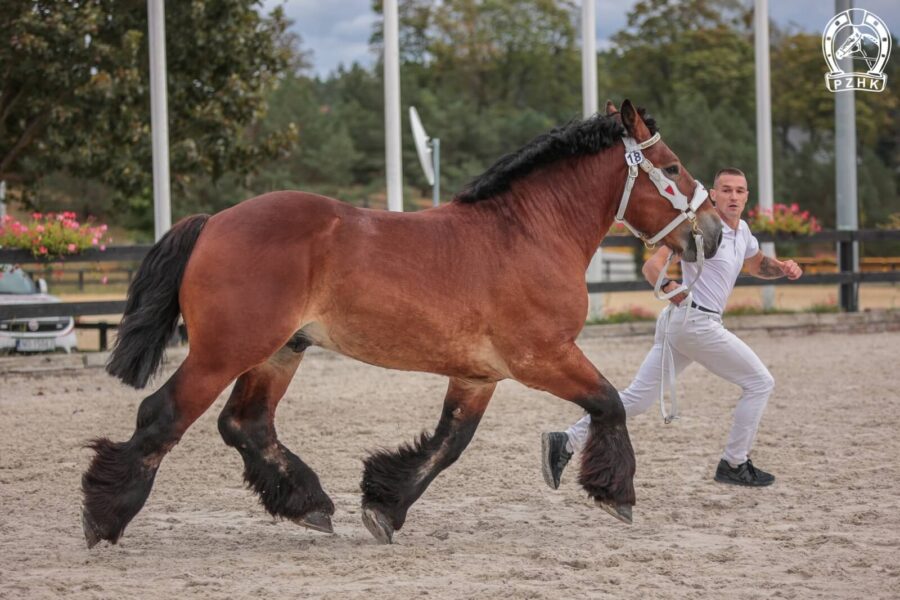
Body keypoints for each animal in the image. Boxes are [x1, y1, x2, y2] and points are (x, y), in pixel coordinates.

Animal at [79, 101, 724, 548]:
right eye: (672, 166)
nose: (713, 232)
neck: (527, 234)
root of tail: (214, 222)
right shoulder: (542, 356)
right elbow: (609, 402)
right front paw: (617, 494)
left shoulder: (480, 375)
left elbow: (447, 445)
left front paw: (384, 507)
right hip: (224, 352)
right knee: (163, 415)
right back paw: (103, 517)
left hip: (279, 352)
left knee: (246, 424)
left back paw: (309, 504)